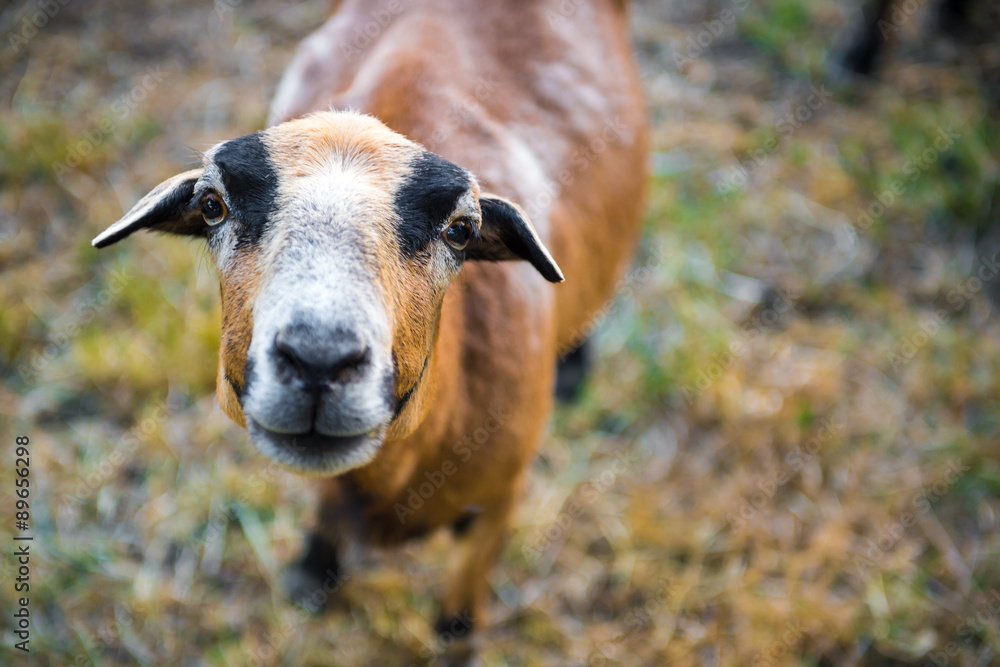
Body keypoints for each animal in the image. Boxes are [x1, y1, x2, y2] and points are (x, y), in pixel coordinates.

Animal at [92, 0, 648, 660]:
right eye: (211, 207)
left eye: (461, 230)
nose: (318, 360)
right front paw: (312, 571)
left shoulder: (501, 499)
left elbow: (457, 622)